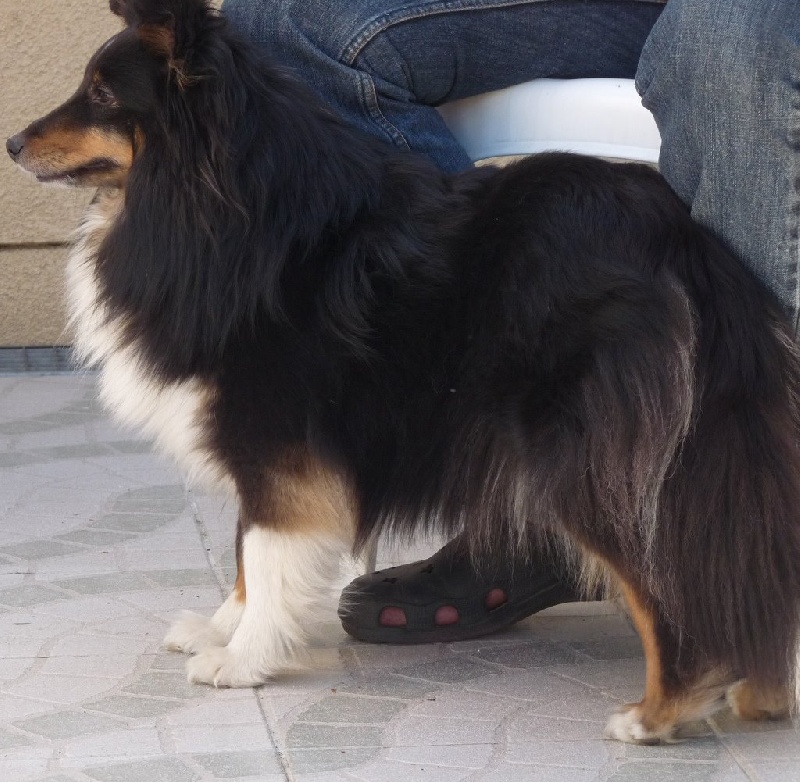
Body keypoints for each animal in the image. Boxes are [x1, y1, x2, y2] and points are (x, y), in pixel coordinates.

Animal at [8, 0, 800, 743]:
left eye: (103, 94)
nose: (12, 143)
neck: (217, 201)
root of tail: (678, 237)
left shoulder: (272, 433)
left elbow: (262, 551)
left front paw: (243, 659)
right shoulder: (262, 439)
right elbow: (243, 551)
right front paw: (222, 628)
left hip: (588, 450)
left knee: (670, 574)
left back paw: (661, 713)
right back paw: (760, 693)